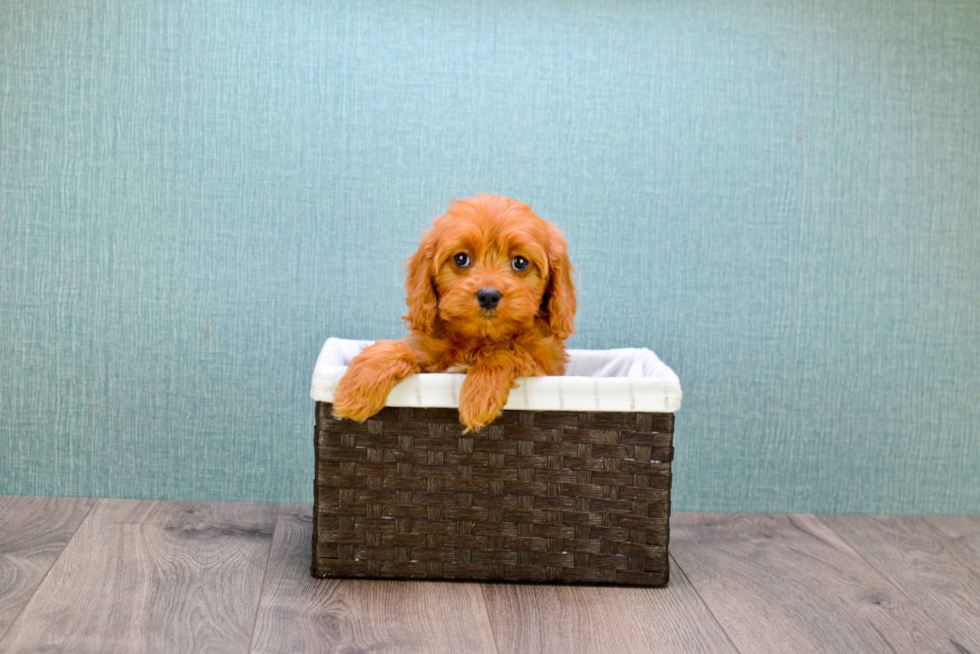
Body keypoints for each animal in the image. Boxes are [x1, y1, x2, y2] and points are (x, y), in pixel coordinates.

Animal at [332, 192, 576, 434]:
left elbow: (507, 350)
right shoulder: (428, 354)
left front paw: (480, 393)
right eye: (461, 259)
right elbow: (402, 348)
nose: (488, 295)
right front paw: (358, 387)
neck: (479, 339)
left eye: (520, 262)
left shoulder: (545, 367)